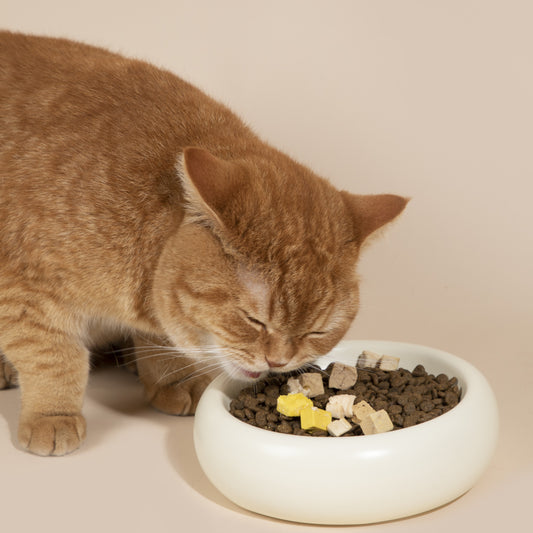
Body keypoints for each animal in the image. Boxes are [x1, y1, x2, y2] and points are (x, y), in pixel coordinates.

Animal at [0, 31, 408, 456]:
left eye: (317, 332)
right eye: (253, 320)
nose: (278, 362)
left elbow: (161, 343)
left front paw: (171, 379)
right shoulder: (23, 292)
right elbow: (53, 356)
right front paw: (52, 415)